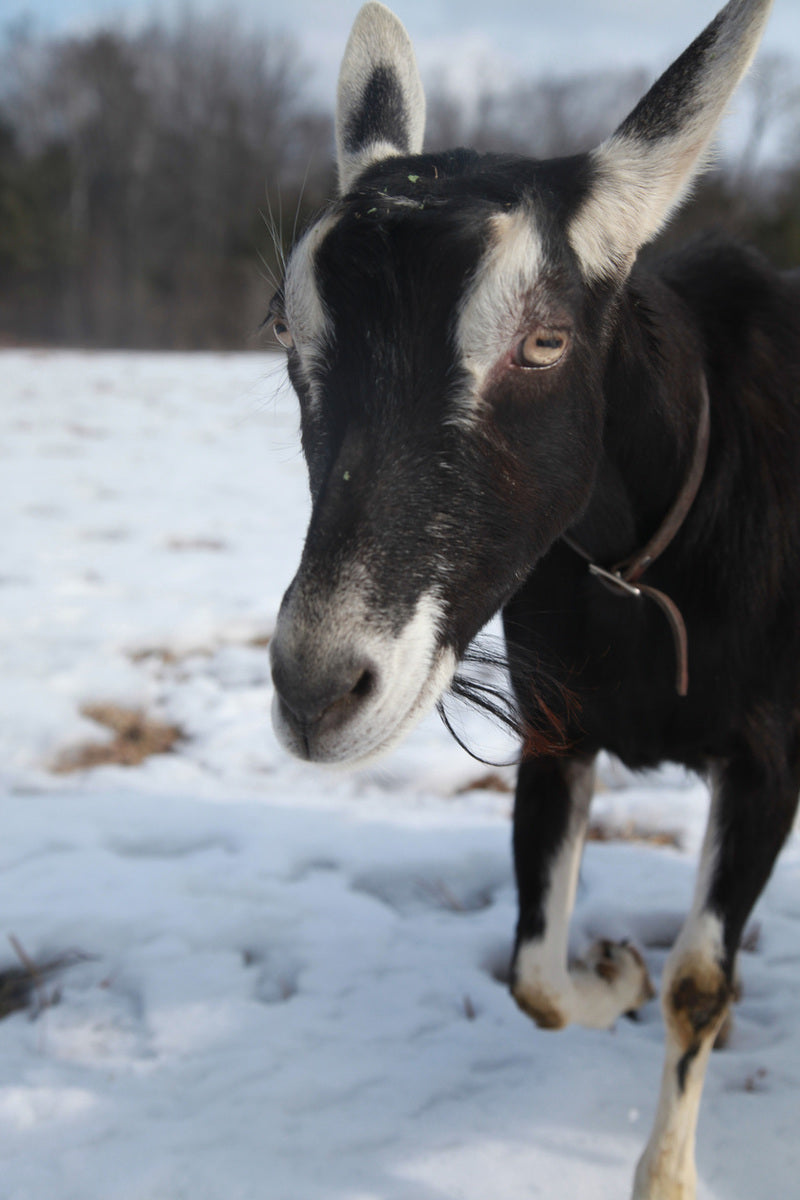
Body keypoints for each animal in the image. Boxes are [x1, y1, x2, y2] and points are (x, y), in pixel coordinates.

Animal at [268, 4, 800, 1195]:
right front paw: (615, 970)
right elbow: (533, 977)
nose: (318, 688)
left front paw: (668, 1174)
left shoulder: (770, 752)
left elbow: (702, 981)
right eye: (285, 329)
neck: (644, 565)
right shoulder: (556, 729)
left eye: (546, 338)